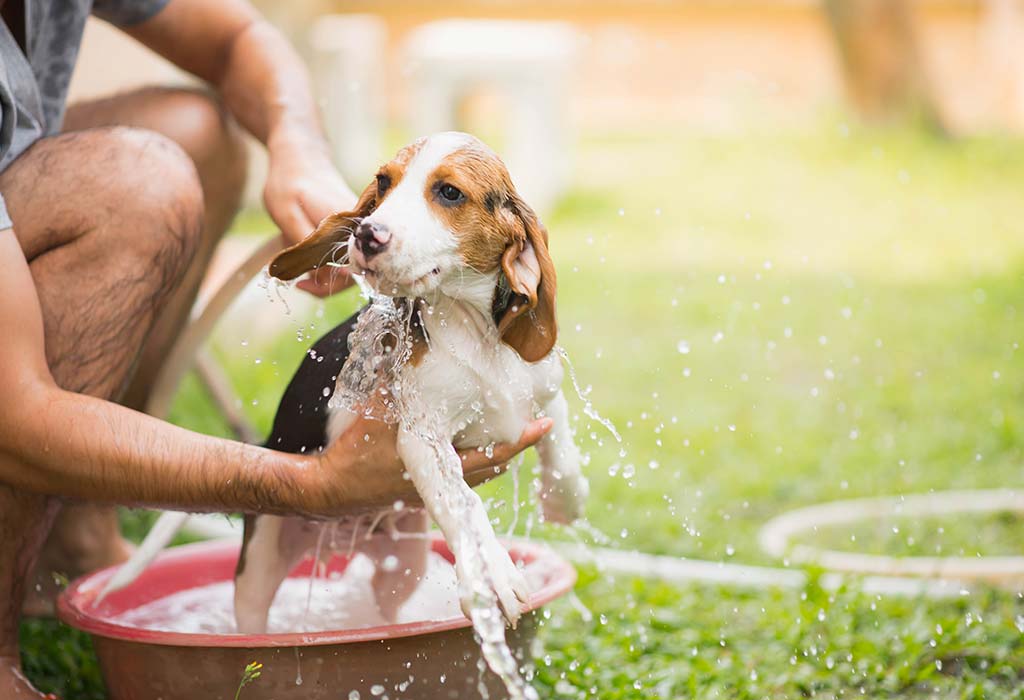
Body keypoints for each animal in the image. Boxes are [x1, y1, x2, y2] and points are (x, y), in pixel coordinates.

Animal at [231, 130, 585, 634]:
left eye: (450, 192)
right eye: (383, 182)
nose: (366, 233)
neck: (477, 335)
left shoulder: (544, 392)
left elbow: (561, 448)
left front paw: (564, 502)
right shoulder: (424, 437)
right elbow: (463, 503)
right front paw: (493, 574)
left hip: (405, 566)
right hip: (259, 557)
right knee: (253, 610)